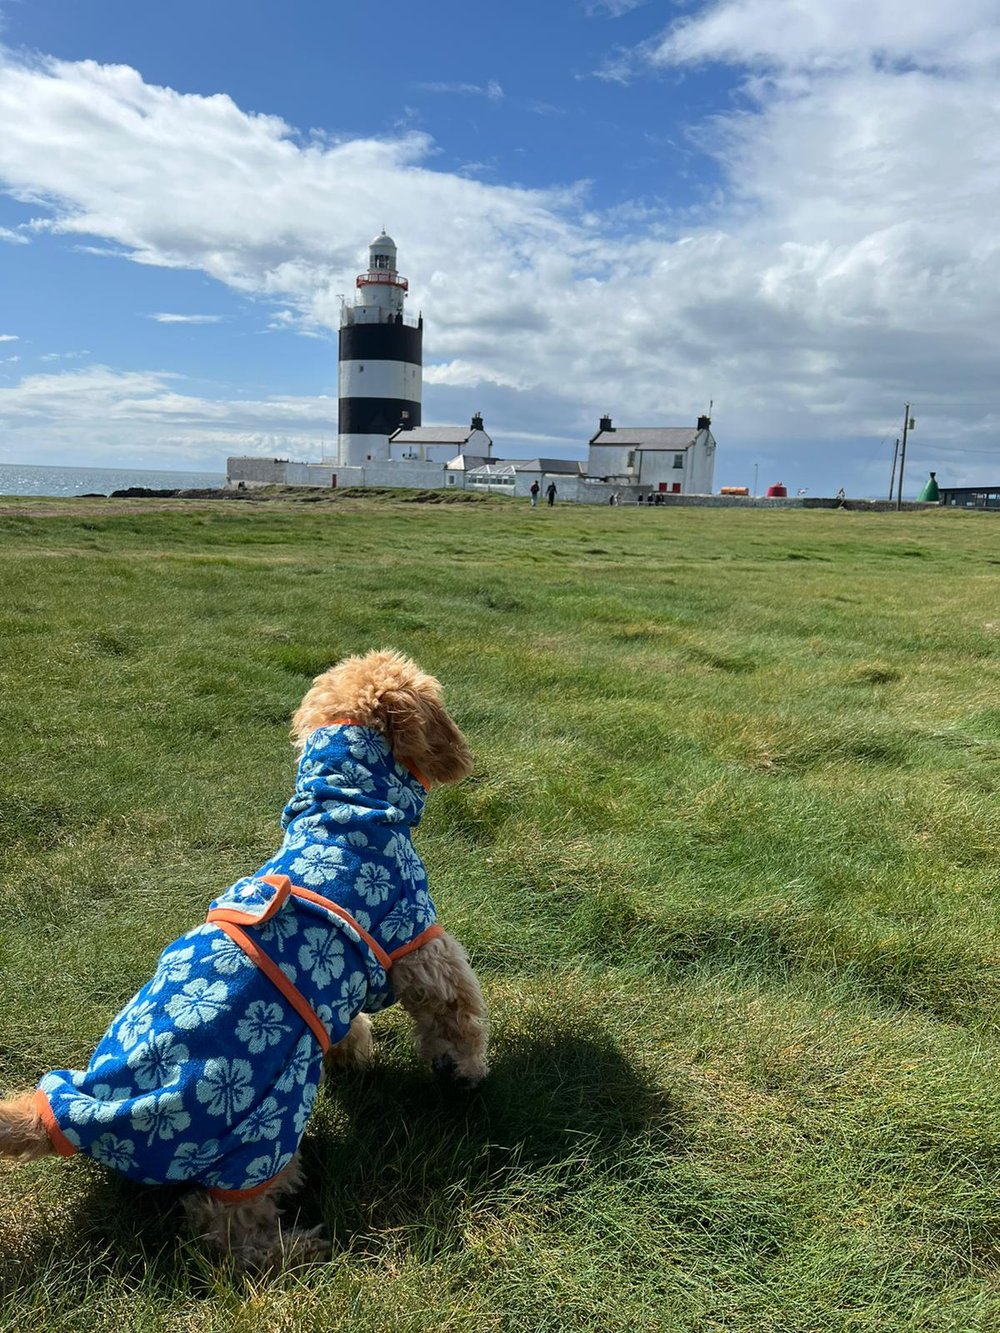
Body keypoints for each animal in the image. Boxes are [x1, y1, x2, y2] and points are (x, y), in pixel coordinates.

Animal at [0, 653, 488, 1269]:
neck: (343, 809)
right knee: (228, 1231)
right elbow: (456, 1013)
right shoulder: (419, 942)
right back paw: (303, 1246)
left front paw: (354, 1053)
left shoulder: (336, 989)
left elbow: (346, 1021)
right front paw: (465, 1070)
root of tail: (79, 1109)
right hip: (264, 1130)